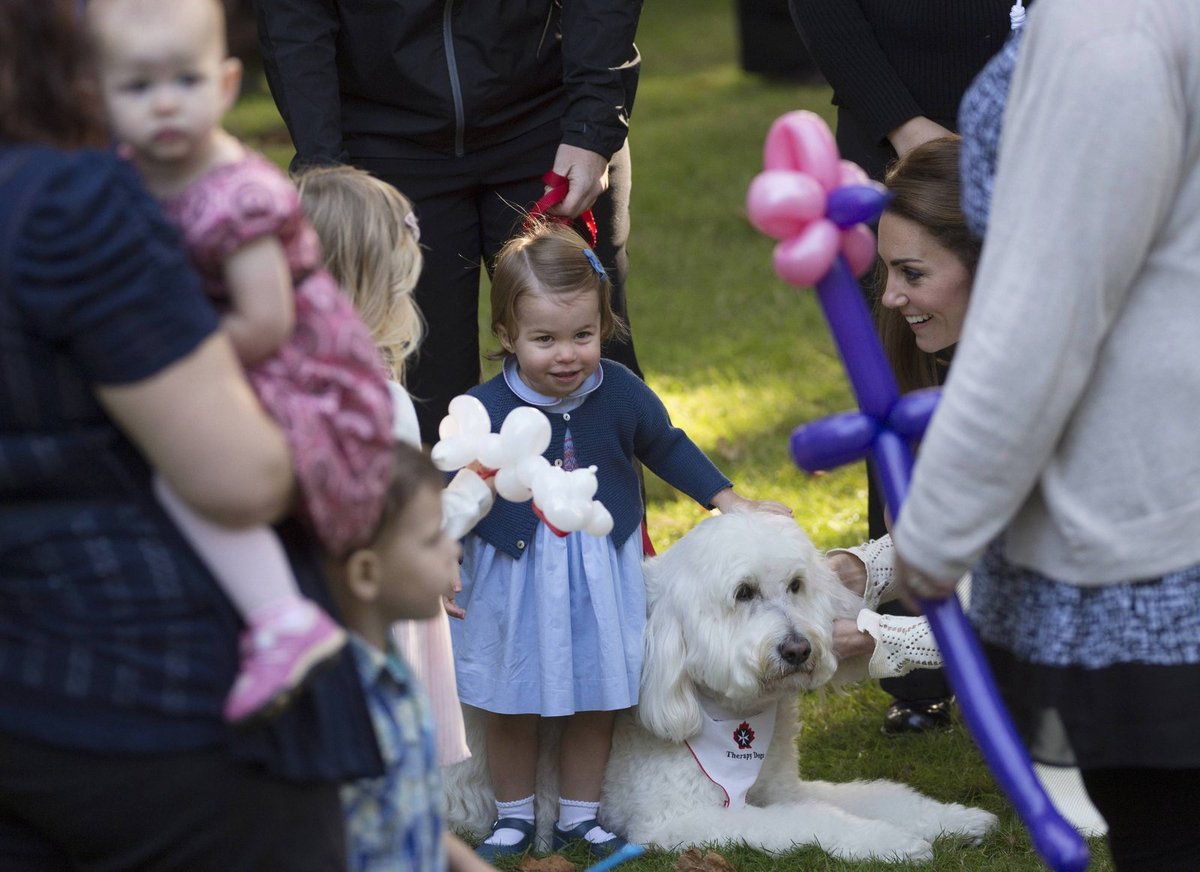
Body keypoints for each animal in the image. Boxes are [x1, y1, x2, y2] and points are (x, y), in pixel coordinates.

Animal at [446, 515, 998, 863]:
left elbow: (879, 794)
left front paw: (953, 819)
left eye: (796, 585)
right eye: (743, 593)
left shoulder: (784, 788)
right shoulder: (684, 821)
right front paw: (891, 842)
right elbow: (811, 821)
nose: (798, 649)